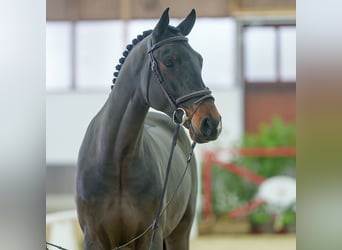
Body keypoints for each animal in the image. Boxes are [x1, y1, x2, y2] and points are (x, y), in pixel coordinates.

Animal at [75, 7, 222, 250]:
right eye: (169, 62)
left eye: (199, 60)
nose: (211, 122)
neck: (116, 159)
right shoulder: (94, 238)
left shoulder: (150, 236)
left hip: (179, 233)